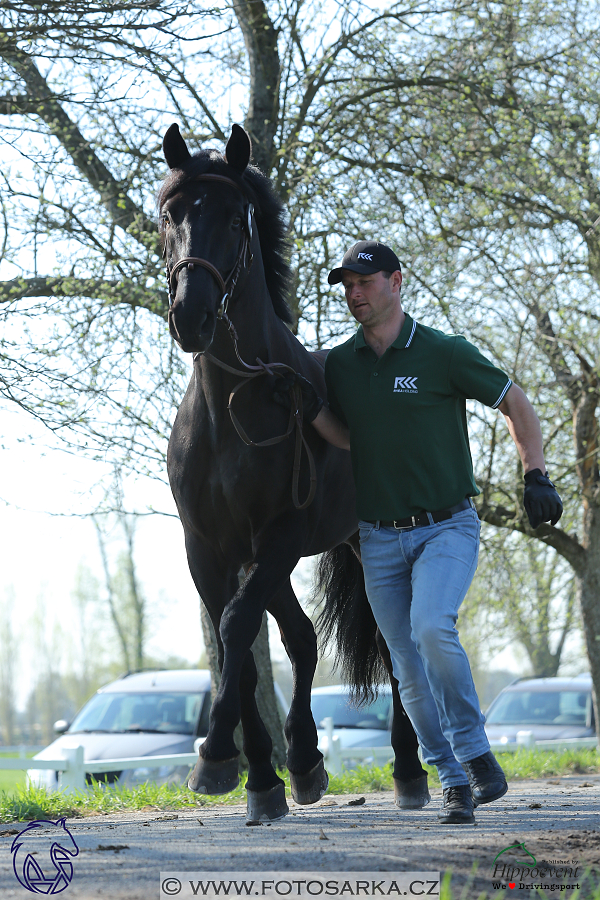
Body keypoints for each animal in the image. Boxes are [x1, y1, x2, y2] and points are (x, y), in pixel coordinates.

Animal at [159, 121, 426, 824]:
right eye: (171, 214)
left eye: (234, 219)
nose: (191, 317)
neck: (234, 405)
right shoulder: (211, 549)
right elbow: (246, 652)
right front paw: (258, 776)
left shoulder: (278, 536)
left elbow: (236, 629)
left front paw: (214, 757)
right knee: (303, 638)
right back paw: (304, 759)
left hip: (365, 542)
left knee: (394, 647)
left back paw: (409, 771)